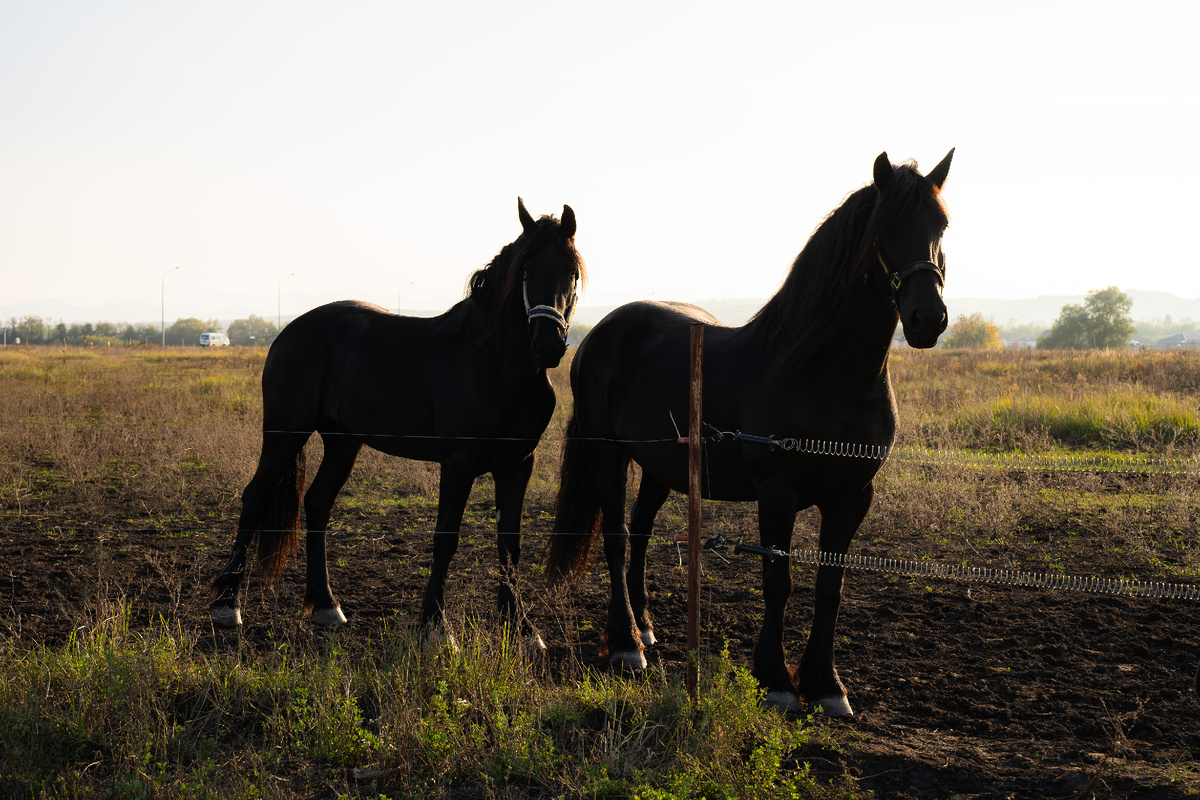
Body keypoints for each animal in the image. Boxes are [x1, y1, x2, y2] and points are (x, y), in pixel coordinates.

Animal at [210, 197, 585, 646]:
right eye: (526, 271)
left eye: (572, 272)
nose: (549, 345)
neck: (496, 366)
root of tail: (289, 331)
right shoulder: (458, 464)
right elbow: (446, 538)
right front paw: (436, 626)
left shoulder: (518, 464)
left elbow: (510, 543)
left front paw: (522, 629)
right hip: (285, 435)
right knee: (255, 499)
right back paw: (226, 605)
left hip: (343, 442)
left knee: (318, 503)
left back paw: (326, 605)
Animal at [545, 150, 954, 715]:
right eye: (884, 230)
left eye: (941, 225)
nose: (927, 319)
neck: (826, 374)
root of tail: (594, 336)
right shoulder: (777, 494)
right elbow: (778, 582)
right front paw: (777, 680)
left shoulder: (852, 497)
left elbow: (831, 587)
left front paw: (827, 685)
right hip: (608, 458)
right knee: (617, 537)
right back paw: (626, 644)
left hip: (660, 467)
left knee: (642, 532)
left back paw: (645, 629)